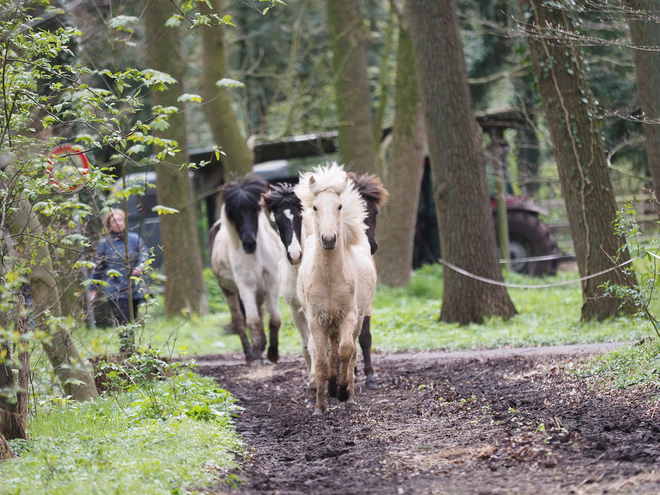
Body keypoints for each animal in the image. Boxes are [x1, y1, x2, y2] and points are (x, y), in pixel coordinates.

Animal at [209, 176, 282, 366]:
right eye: (235, 214)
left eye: (255, 211)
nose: (249, 244)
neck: (257, 256)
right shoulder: (246, 288)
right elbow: (253, 322)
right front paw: (256, 355)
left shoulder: (272, 286)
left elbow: (274, 320)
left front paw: (273, 353)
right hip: (228, 291)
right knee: (239, 322)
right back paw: (250, 354)